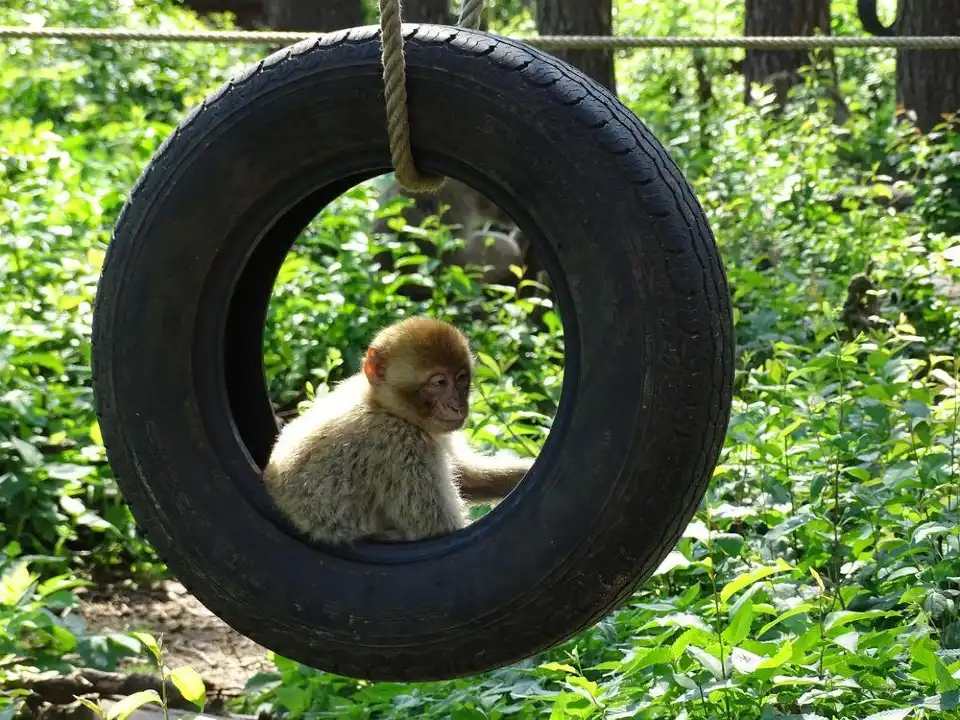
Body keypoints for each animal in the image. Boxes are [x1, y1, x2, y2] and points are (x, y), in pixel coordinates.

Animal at [262, 316, 534, 545]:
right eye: (439, 382)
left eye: (461, 378)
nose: (458, 406)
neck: (383, 405)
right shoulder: (401, 446)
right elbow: (437, 529)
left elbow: (468, 477)